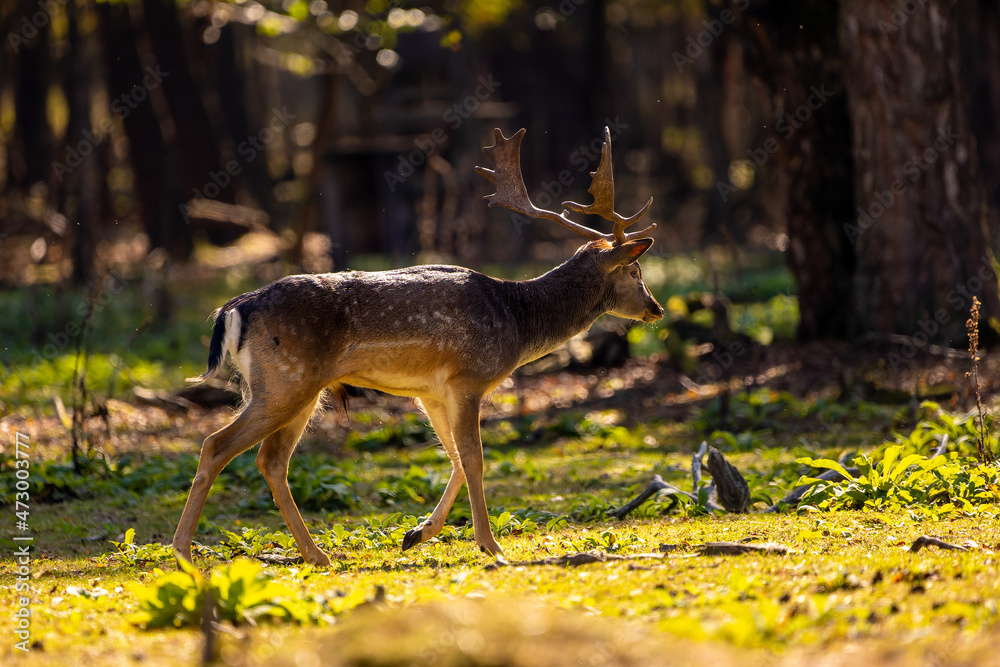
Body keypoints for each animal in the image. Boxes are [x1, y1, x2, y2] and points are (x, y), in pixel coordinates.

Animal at [172, 126, 663, 566]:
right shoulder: (468, 379)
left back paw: (317, 554)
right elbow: (475, 460)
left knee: (271, 461)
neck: (517, 318)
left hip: (294, 389)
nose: (656, 308)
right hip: (285, 382)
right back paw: (183, 552)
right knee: (216, 445)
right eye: (636, 271)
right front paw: (490, 546)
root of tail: (235, 307)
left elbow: (455, 459)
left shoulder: (431, 392)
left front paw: (417, 534)